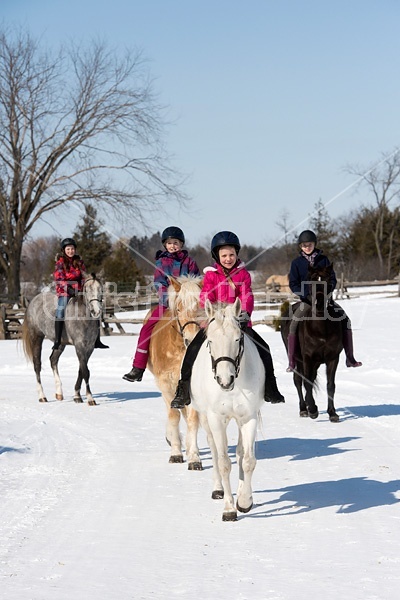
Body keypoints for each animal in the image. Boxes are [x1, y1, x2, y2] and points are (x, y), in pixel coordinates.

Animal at [22, 274, 104, 406]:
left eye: (101, 289)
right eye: (87, 290)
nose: (96, 311)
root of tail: (34, 300)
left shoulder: (89, 347)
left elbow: (81, 370)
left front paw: (77, 396)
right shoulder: (79, 346)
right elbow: (85, 372)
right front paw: (90, 398)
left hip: (60, 344)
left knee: (53, 360)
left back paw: (59, 393)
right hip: (36, 337)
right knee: (37, 365)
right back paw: (42, 396)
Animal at [146, 276, 205, 468]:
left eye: (200, 308)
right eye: (178, 308)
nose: (191, 338)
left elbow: (192, 419)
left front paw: (194, 457)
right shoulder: (166, 384)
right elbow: (173, 417)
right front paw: (176, 453)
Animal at [191, 300, 266, 520]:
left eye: (238, 339)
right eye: (210, 341)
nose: (225, 380)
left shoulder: (248, 418)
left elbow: (247, 460)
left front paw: (244, 501)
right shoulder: (216, 419)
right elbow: (223, 462)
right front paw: (229, 509)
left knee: (240, 453)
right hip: (206, 419)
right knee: (215, 451)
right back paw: (218, 489)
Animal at [282, 264, 344, 424]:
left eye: (328, 281)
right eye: (311, 282)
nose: (320, 304)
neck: (321, 329)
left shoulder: (332, 358)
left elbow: (330, 385)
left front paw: (332, 413)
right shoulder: (307, 358)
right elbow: (307, 382)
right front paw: (313, 410)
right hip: (298, 360)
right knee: (298, 380)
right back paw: (304, 409)